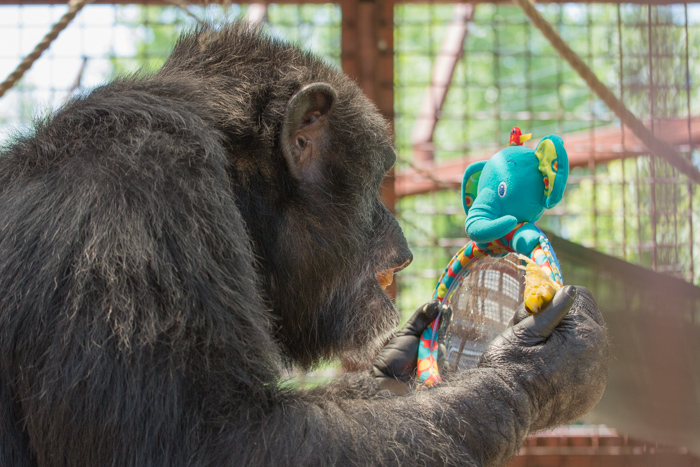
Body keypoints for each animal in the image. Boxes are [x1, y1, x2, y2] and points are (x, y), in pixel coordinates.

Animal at [0, 23, 608, 466]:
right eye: (380, 176)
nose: (401, 242)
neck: (234, 181)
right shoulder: (136, 214)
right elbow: (214, 443)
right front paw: (534, 366)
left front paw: (397, 363)